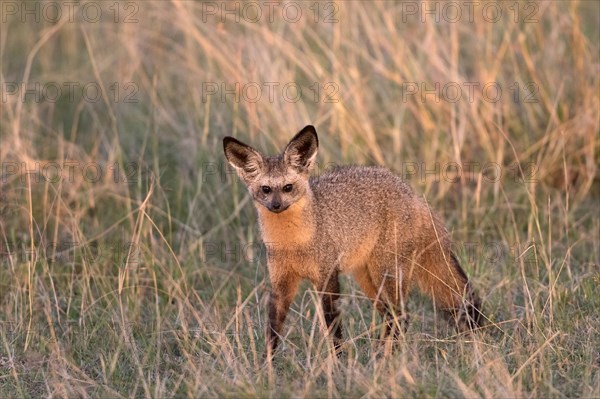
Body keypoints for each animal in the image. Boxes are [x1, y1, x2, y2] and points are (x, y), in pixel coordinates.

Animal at [224, 126, 482, 358]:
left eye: (288, 187)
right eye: (266, 190)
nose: (276, 206)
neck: (293, 245)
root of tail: (414, 195)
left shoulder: (327, 278)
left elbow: (333, 327)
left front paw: (338, 363)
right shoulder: (281, 284)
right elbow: (273, 330)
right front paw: (266, 365)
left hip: (385, 274)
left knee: (402, 316)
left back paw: (385, 358)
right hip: (368, 280)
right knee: (392, 316)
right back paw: (381, 354)